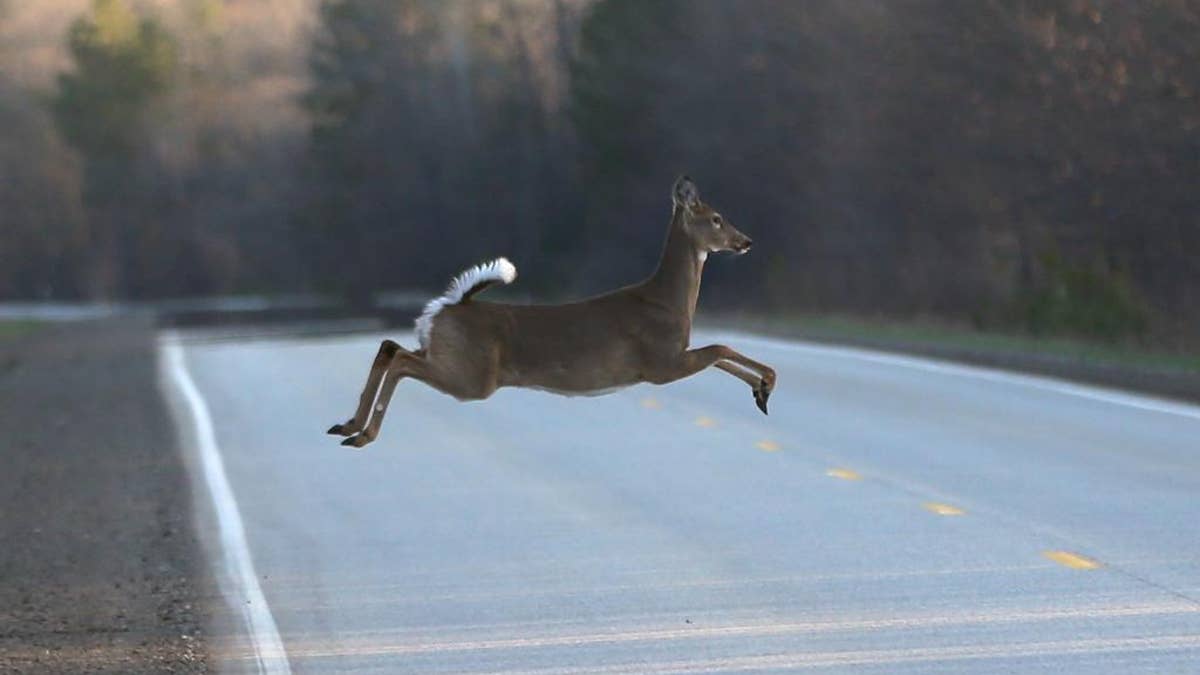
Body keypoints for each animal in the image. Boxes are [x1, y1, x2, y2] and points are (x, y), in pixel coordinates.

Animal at [328, 176, 777, 444]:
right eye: (716, 218)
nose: (747, 241)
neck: (667, 301)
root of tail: (450, 305)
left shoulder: (672, 357)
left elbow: (720, 354)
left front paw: (760, 392)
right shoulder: (660, 363)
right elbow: (720, 349)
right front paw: (767, 384)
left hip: (447, 354)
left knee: (390, 347)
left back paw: (347, 425)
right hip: (473, 377)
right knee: (401, 360)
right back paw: (362, 434)